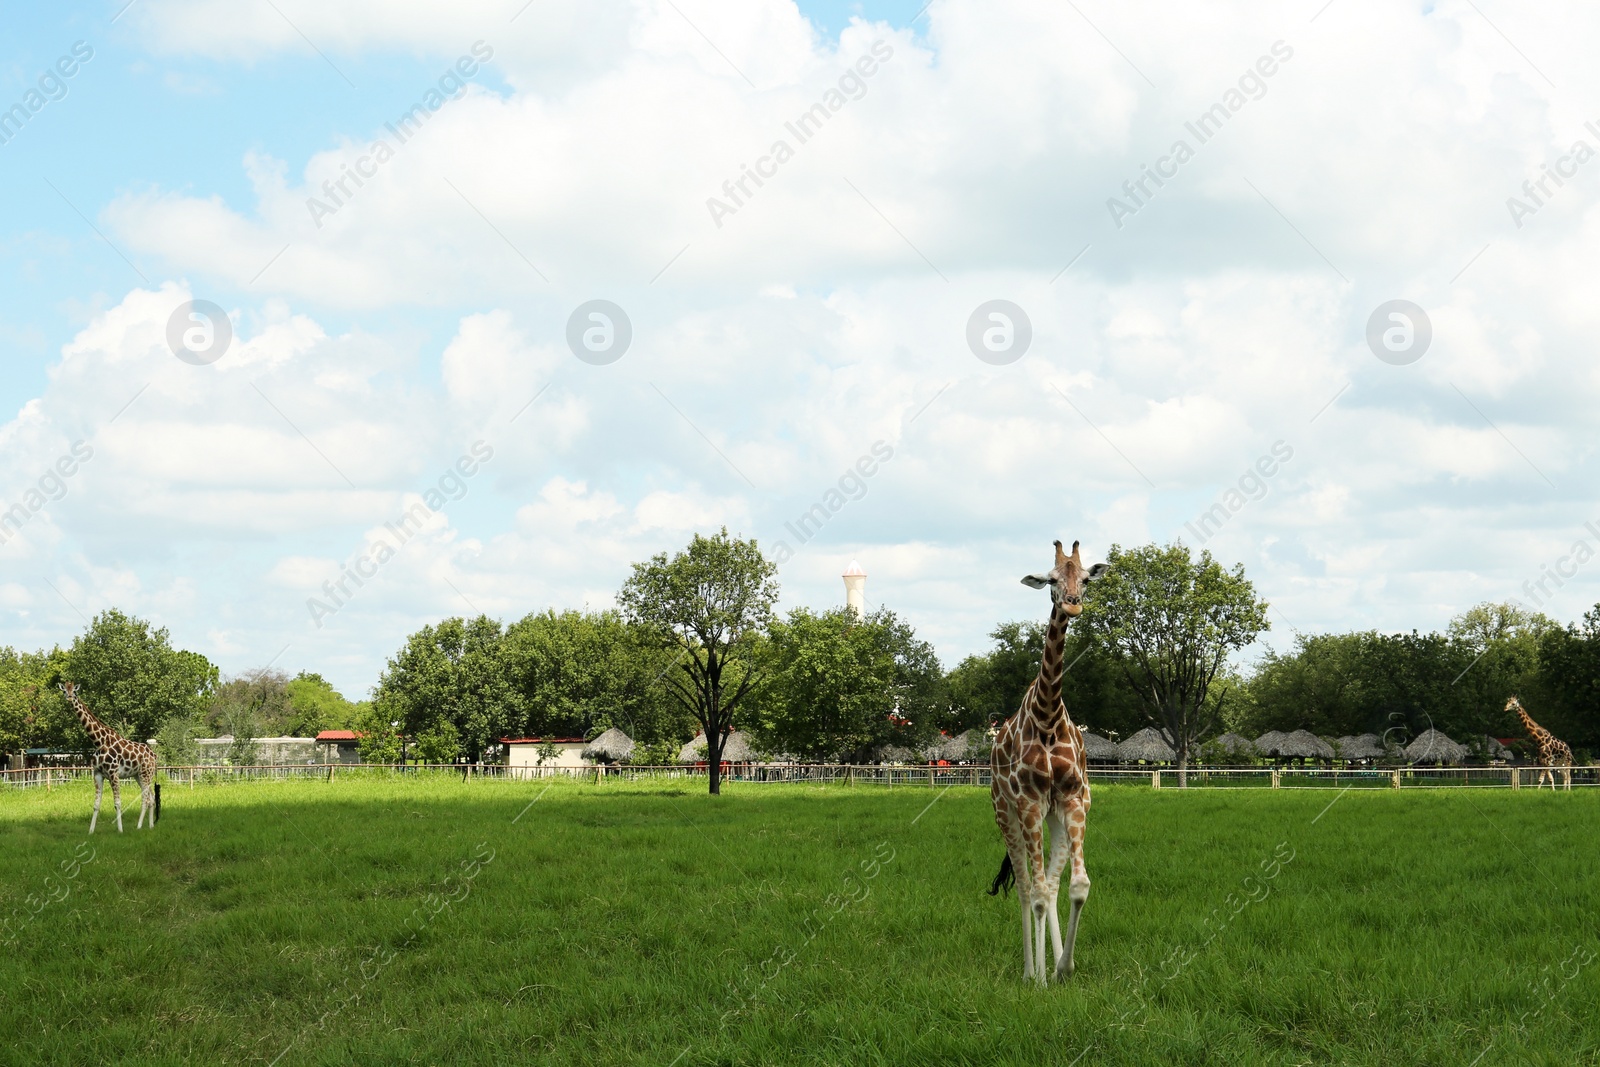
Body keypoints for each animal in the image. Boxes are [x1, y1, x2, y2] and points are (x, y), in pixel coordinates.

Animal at [60, 684, 158, 831]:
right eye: (64, 691)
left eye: (75, 692)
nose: (70, 697)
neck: (99, 742)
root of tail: (154, 756)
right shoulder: (97, 774)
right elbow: (96, 805)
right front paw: (91, 831)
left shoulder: (113, 773)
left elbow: (117, 803)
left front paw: (120, 830)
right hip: (139, 775)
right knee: (151, 797)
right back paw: (151, 826)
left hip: (146, 773)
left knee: (145, 798)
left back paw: (139, 826)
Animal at [979, 543, 1107, 985]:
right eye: (1051, 579)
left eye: (1084, 578)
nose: (1072, 604)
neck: (1048, 716)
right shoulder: (1029, 802)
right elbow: (1032, 892)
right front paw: (1038, 978)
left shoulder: (1072, 800)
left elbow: (1076, 886)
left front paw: (1064, 967)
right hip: (1006, 813)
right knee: (1024, 887)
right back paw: (1029, 972)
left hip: (1055, 816)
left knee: (1049, 886)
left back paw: (1049, 967)